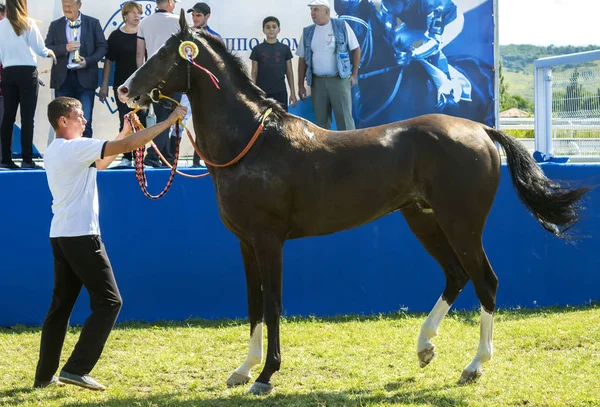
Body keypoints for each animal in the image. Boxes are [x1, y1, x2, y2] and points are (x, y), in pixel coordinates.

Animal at [118, 11, 592, 396]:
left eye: (166, 53)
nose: (125, 91)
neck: (253, 142)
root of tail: (480, 130)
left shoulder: (269, 240)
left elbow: (272, 304)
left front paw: (266, 375)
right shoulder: (246, 243)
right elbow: (253, 304)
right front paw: (243, 370)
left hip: (462, 224)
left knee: (485, 282)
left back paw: (474, 366)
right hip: (423, 220)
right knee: (456, 276)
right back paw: (425, 348)